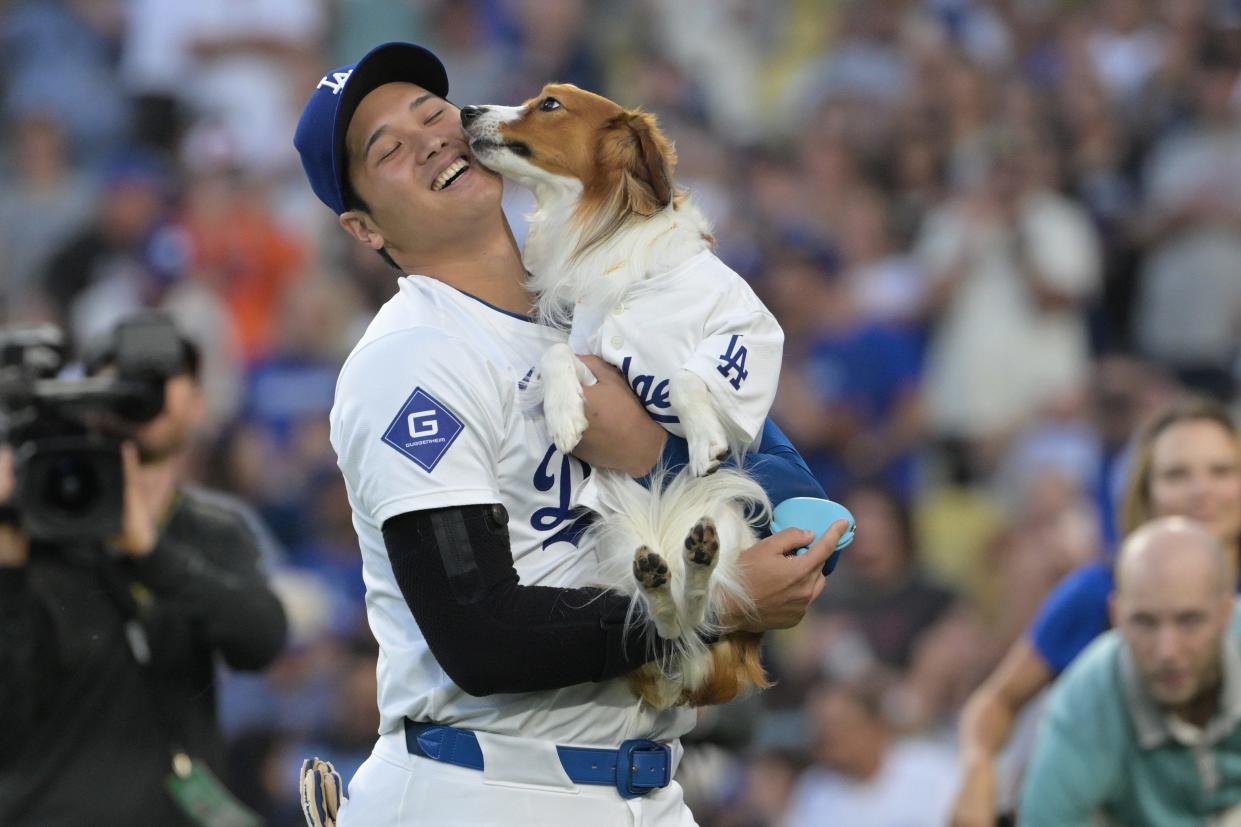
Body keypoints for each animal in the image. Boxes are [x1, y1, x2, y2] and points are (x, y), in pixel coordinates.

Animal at [461, 83, 789, 705]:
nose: (466, 110)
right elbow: (556, 355)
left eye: (550, 104)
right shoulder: (587, 350)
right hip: (618, 540)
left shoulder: (749, 334)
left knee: (701, 604)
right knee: (669, 620)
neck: (607, 238)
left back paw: (693, 559)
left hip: (731, 522)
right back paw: (663, 578)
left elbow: (688, 376)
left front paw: (705, 439)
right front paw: (566, 416)